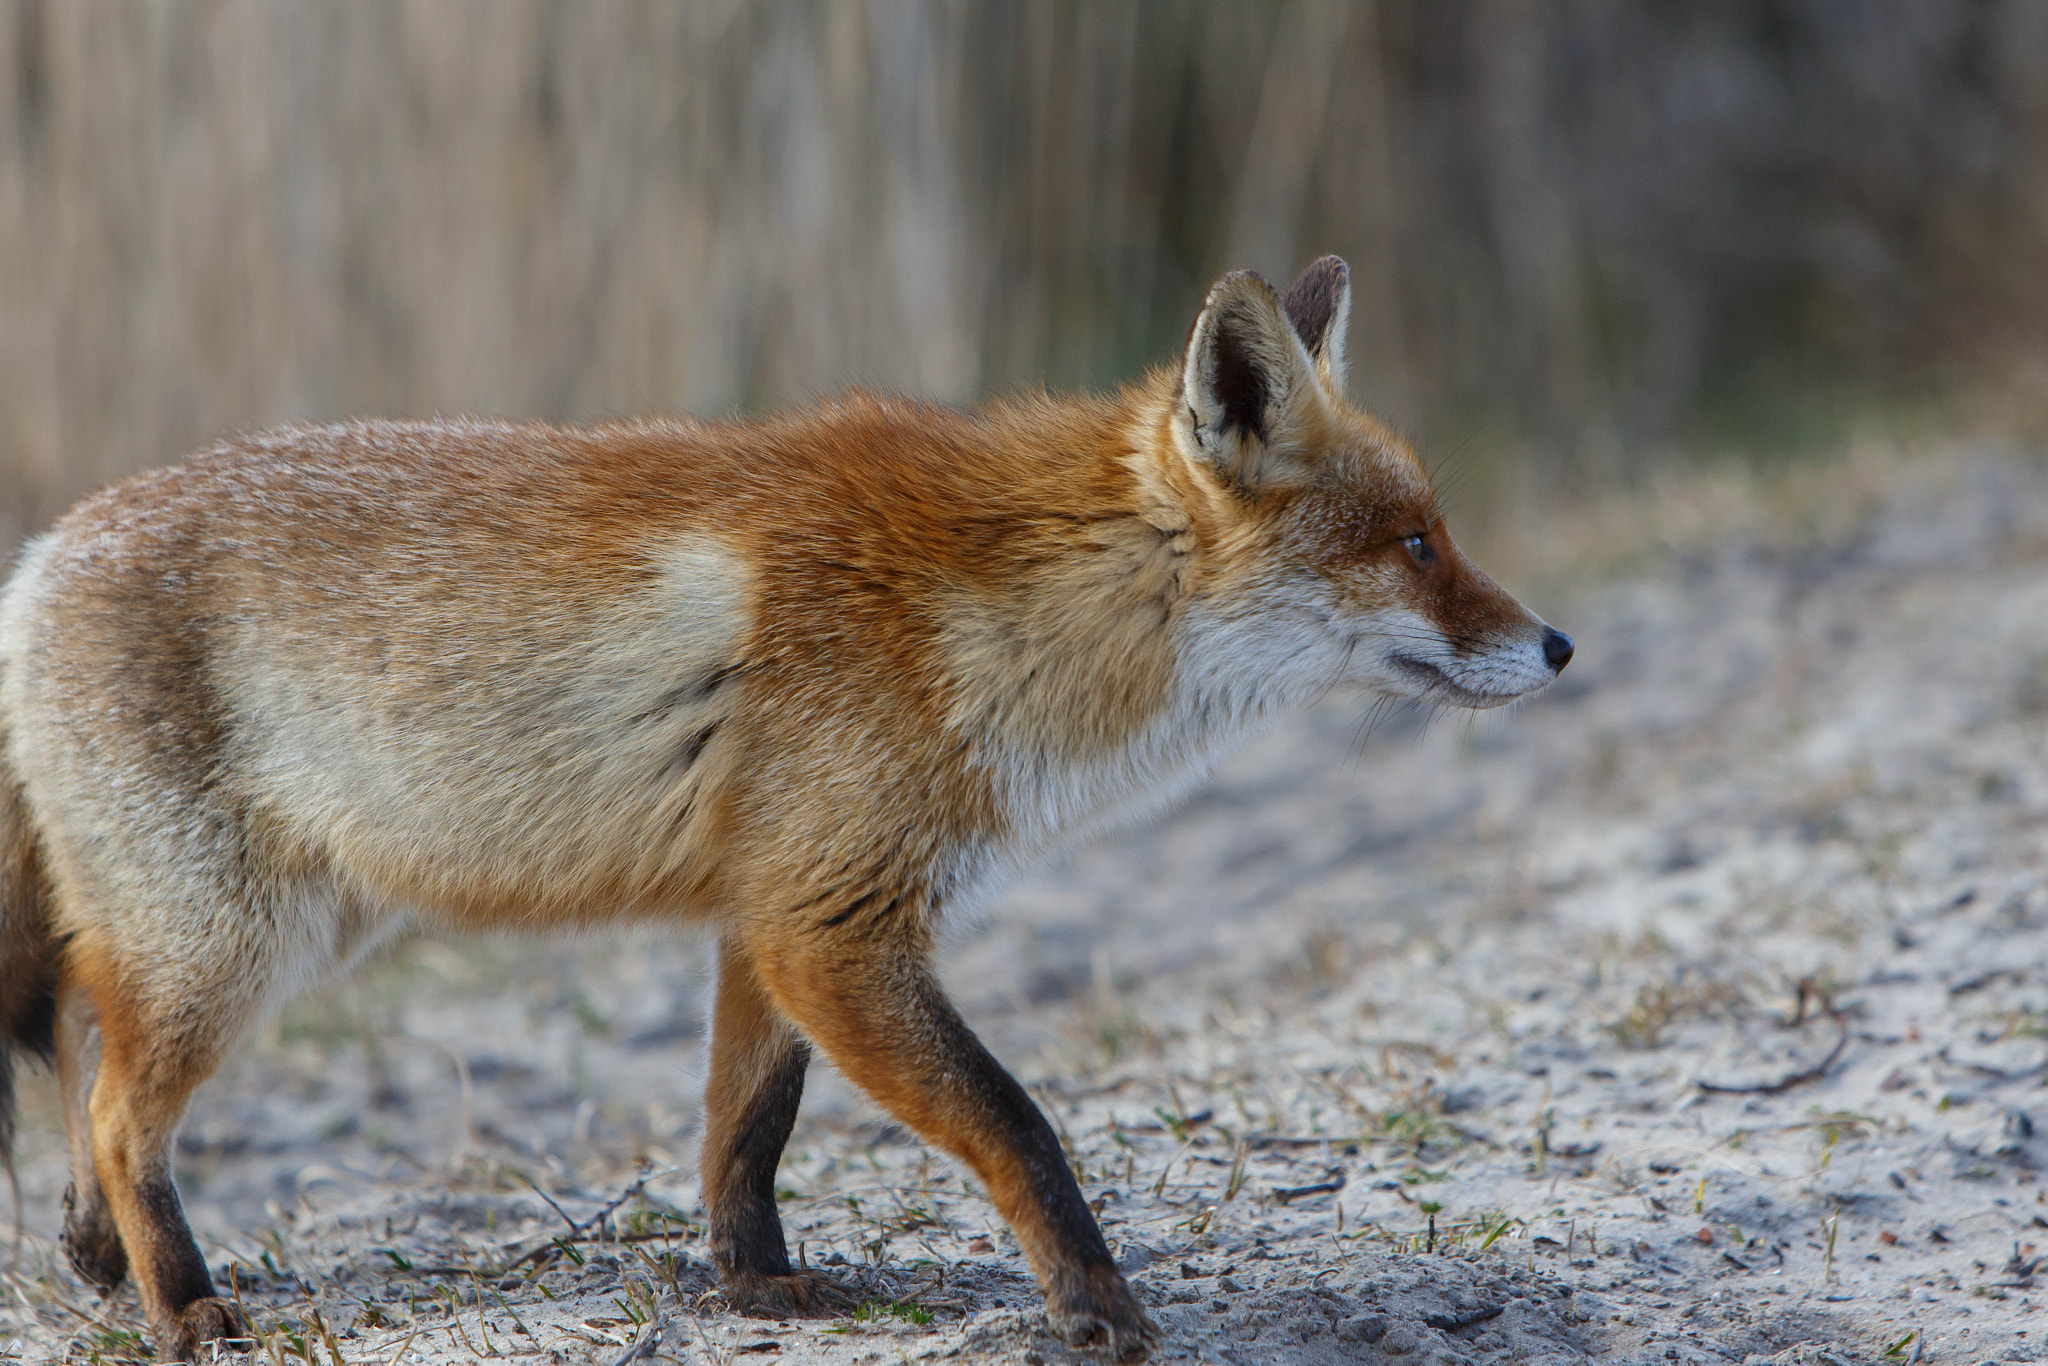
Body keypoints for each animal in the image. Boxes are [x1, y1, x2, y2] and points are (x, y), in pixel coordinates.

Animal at [0, 259, 1572, 1366]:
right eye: (1415, 544)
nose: (1559, 646)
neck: (992, 617)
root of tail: (41, 552)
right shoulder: (832, 924)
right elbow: (1018, 1122)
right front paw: (1091, 1300)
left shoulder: (772, 913)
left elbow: (744, 1129)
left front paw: (758, 1286)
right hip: (229, 947)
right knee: (122, 1105)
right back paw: (183, 1306)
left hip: (283, 927)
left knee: (78, 1052)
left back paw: (95, 1255)